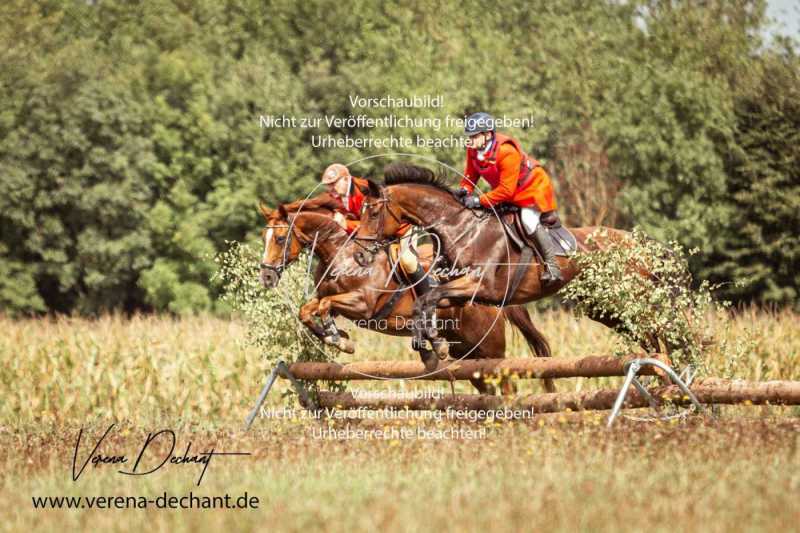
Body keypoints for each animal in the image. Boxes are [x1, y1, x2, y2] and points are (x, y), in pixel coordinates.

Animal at [258, 193, 556, 392]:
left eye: (280, 239)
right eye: (264, 238)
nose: (266, 276)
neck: (341, 253)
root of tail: (494, 290)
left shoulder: (363, 305)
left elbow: (325, 305)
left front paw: (339, 339)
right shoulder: (328, 299)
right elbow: (307, 310)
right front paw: (338, 336)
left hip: (489, 346)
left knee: (505, 381)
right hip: (466, 350)